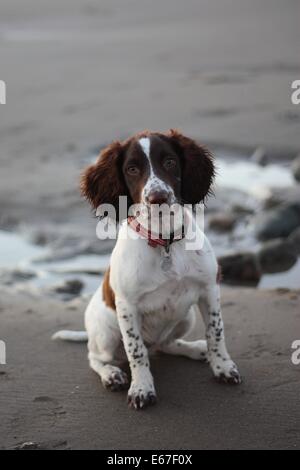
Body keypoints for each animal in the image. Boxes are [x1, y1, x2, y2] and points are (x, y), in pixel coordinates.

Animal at [53, 130, 241, 410]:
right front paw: (141, 388)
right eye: (132, 169)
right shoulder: (127, 307)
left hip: (186, 317)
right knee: (96, 357)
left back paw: (196, 349)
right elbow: (136, 350)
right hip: (106, 334)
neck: (165, 242)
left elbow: (215, 332)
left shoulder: (209, 289)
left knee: (165, 345)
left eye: (170, 162)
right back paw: (112, 375)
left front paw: (223, 367)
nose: (158, 199)